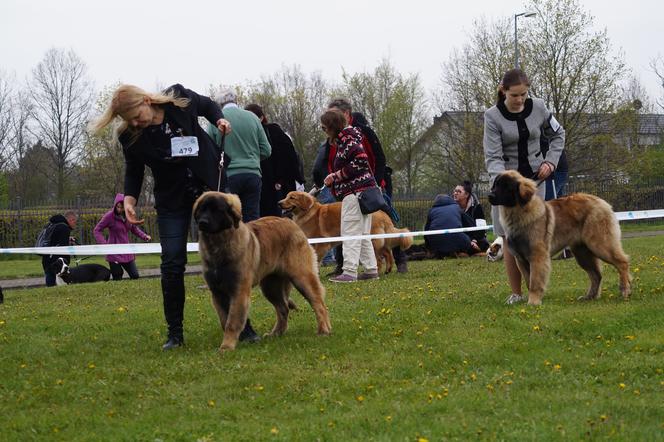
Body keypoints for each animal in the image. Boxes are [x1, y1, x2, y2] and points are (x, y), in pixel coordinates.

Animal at [195, 192, 334, 350]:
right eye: (201, 209)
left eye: (217, 210)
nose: (202, 222)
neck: (218, 245)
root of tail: (289, 222)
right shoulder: (217, 293)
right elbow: (224, 320)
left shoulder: (239, 291)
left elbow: (232, 321)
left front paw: (227, 346)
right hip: (270, 287)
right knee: (283, 308)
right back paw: (277, 333)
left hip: (302, 277)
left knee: (318, 303)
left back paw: (324, 330)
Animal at [278, 192, 412, 274]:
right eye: (286, 196)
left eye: (292, 198)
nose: (279, 203)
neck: (307, 212)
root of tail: (383, 214)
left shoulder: (321, 245)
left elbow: (316, 259)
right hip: (380, 241)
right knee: (388, 253)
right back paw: (387, 270)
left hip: (372, 241)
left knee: (379, 259)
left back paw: (377, 272)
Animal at [490, 171, 632, 306]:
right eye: (495, 185)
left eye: (506, 187)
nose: (490, 195)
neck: (519, 212)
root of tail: (600, 201)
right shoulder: (521, 260)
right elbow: (528, 282)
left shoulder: (537, 257)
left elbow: (535, 282)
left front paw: (533, 302)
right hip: (582, 253)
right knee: (596, 275)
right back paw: (590, 296)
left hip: (600, 245)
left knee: (622, 262)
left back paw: (625, 290)